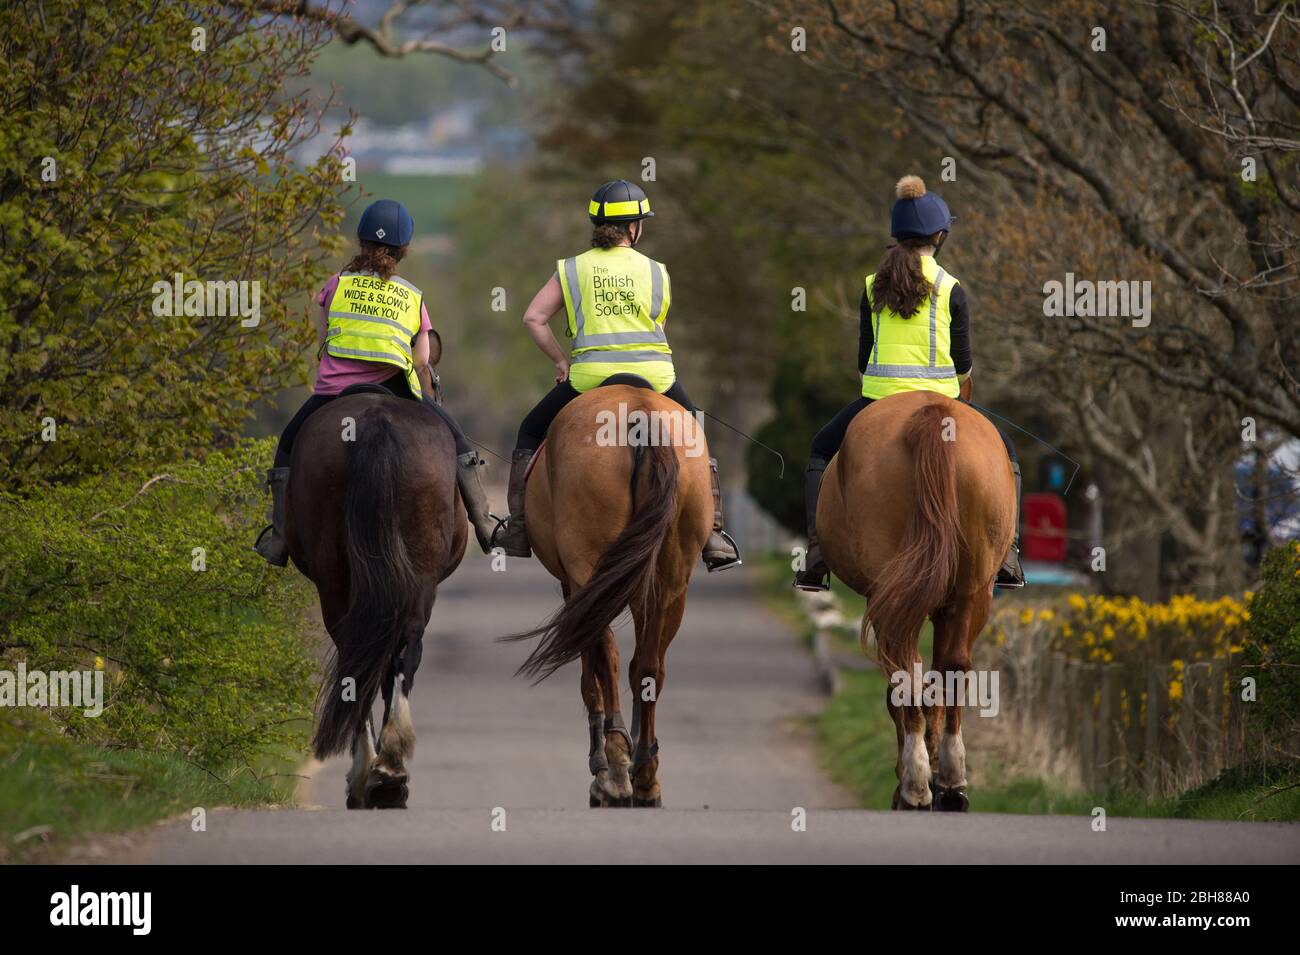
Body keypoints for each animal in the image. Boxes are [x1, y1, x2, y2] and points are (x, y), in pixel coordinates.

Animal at [285, 368, 467, 809]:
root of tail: (377, 421)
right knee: (398, 654)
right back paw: (386, 771)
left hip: (340, 582)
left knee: (368, 655)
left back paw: (378, 773)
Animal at [508, 382, 712, 807]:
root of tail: (641, 414)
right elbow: (643, 668)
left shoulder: (575, 586)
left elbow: (592, 672)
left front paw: (601, 762)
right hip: (671, 579)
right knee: (648, 667)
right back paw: (644, 775)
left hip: (589, 570)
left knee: (609, 653)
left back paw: (614, 771)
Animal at [817, 390, 1016, 811]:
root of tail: (932, 415)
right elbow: (937, 682)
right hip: (972, 591)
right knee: (952, 666)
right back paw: (950, 783)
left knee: (905, 672)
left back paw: (913, 785)